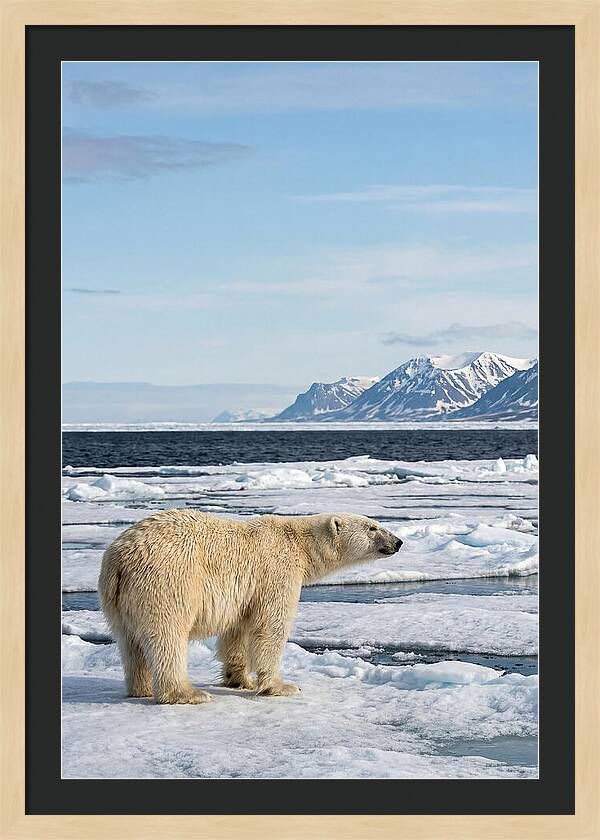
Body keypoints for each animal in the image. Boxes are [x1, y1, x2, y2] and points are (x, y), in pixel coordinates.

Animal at [98, 509, 402, 704]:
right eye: (373, 527)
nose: (398, 542)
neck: (299, 544)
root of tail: (120, 559)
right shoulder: (276, 571)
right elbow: (271, 626)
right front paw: (282, 686)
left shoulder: (246, 593)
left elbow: (238, 630)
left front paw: (240, 679)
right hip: (167, 582)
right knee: (167, 637)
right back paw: (187, 693)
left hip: (117, 600)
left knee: (130, 642)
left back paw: (141, 688)